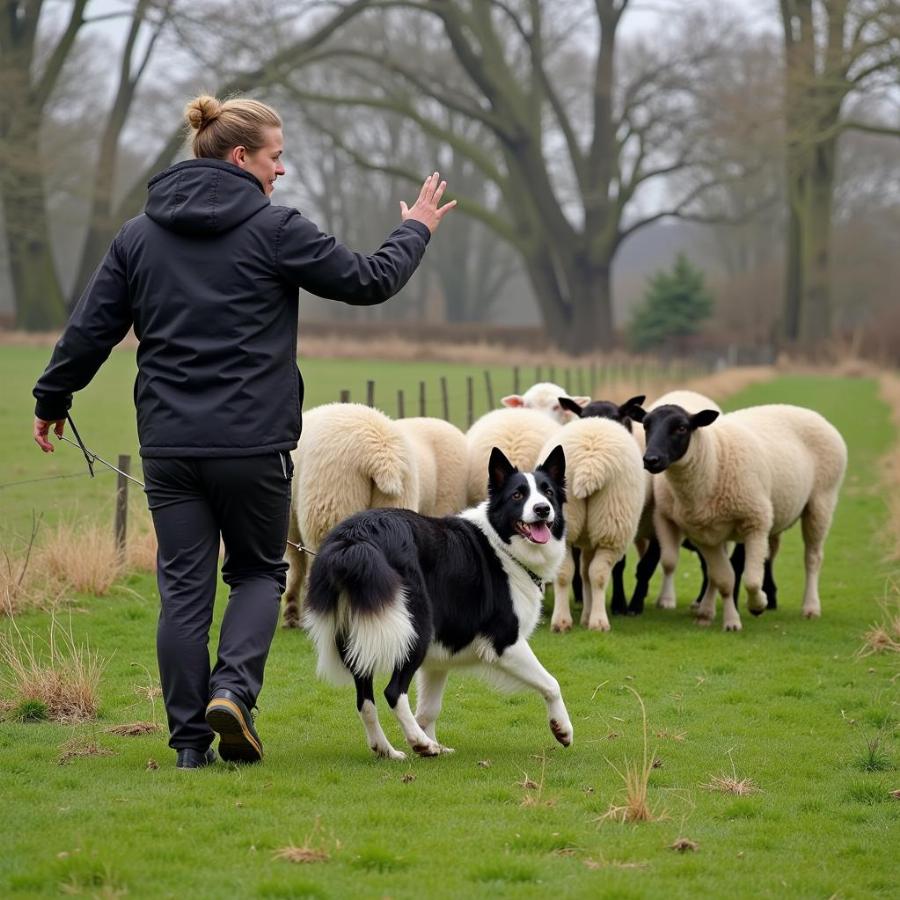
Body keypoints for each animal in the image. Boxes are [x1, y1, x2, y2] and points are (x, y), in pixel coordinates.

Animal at [536, 418, 648, 628]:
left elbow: (584, 573)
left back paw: (561, 621)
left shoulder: (588, 539)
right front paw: (590, 617)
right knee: (600, 574)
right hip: (613, 523)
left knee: (565, 573)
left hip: (568, 522)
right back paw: (599, 622)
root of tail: (590, 464)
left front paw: (585, 616)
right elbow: (590, 574)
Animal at [644, 404, 848, 628]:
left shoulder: (756, 521)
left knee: (812, 557)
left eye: (681, 428)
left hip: (821, 500)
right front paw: (728, 619)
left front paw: (758, 605)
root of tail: (808, 411)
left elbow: (751, 580)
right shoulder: (704, 535)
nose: (651, 460)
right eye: (645, 425)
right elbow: (723, 578)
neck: (712, 460)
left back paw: (810, 607)